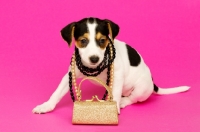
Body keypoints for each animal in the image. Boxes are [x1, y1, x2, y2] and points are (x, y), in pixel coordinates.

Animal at [32, 17, 190, 114]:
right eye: (83, 41)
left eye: (102, 40)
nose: (94, 59)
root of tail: (152, 83)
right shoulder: (70, 75)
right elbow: (57, 93)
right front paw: (46, 106)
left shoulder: (118, 76)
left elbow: (116, 93)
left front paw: (114, 107)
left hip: (141, 89)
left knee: (132, 98)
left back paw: (123, 102)